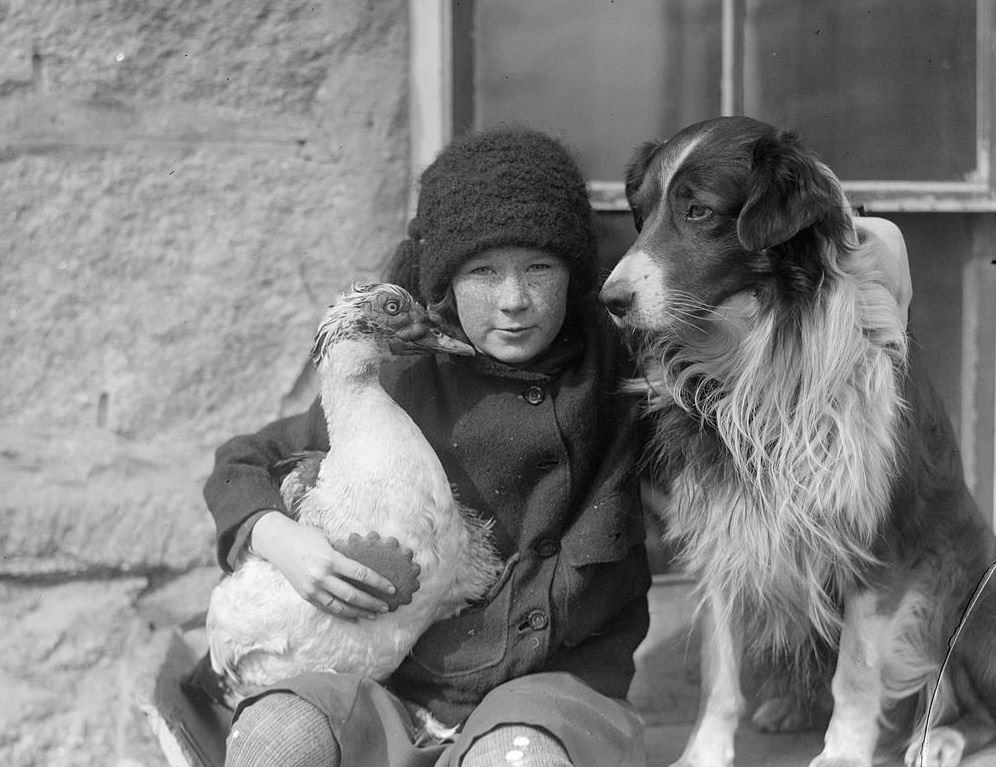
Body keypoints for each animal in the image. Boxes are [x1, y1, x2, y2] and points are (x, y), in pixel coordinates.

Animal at [600, 115, 996, 767]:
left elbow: (857, 671)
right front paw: (705, 752)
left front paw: (844, 753)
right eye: (641, 211)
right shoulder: (727, 526)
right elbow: (720, 670)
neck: (759, 346)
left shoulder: (877, 540)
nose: (610, 301)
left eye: (699, 211)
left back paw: (941, 736)